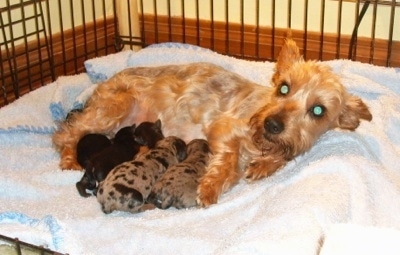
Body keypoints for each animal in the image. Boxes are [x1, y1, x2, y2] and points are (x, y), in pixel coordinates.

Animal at [52, 35, 372, 207]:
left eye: (318, 110)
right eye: (284, 87)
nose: (273, 124)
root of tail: (100, 87)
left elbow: (280, 157)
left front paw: (262, 166)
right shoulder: (225, 129)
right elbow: (228, 161)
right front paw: (210, 186)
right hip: (116, 106)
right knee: (67, 132)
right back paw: (69, 159)